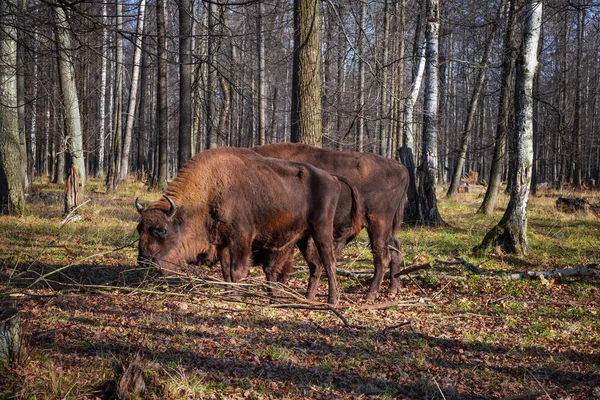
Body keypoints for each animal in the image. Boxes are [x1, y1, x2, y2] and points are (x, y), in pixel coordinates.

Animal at [135, 147, 356, 304]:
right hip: (304, 237)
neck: (210, 187)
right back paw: (307, 297)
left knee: (328, 262)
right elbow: (226, 271)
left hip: (321, 230)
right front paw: (228, 294)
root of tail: (332, 178)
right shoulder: (223, 241)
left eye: (162, 230)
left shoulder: (240, 238)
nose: (144, 261)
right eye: (139, 229)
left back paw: (332, 300)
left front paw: (236, 296)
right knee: (315, 265)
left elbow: (236, 270)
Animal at [251, 144, 410, 300]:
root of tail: (401, 168)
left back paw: (370, 295)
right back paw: (392, 290)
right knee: (395, 248)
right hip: (384, 228)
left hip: (377, 223)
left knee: (382, 256)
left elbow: (272, 265)